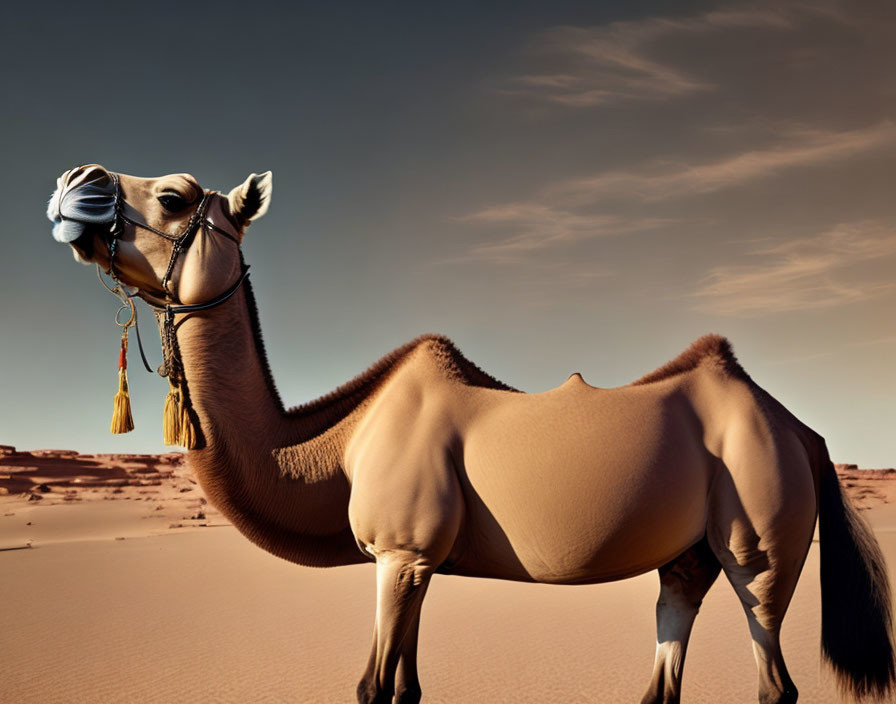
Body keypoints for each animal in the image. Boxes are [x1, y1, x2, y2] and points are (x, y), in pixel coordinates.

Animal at [49, 162, 896, 700]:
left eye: (173, 195)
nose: (75, 182)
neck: (337, 446)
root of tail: (803, 434)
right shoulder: (418, 563)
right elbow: (407, 688)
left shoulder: (400, 552)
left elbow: (373, 689)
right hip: (689, 556)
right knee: (668, 655)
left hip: (762, 542)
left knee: (775, 679)